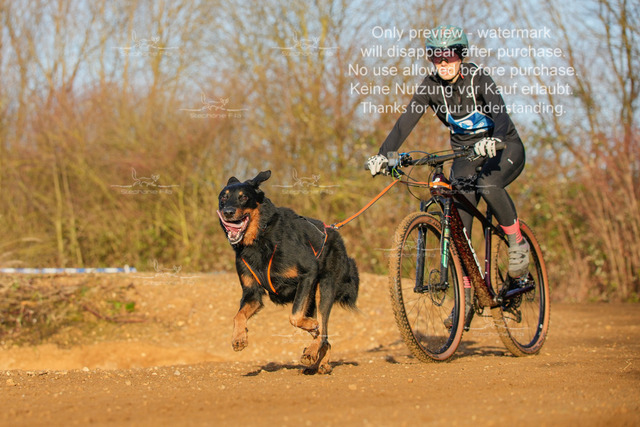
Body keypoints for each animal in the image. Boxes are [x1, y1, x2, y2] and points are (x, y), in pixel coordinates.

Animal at [217, 170, 359, 374]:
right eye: (223, 198)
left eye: (243, 197)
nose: (227, 212)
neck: (260, 238)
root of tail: (335, 233)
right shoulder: (252, 294)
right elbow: (238, 315)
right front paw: (239, 338)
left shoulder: (308, 273)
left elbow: (294, 316)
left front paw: (310, 326)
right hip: (311, 300)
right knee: (325, 336)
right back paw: (320, 362)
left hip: (323, 288)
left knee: (322, 326)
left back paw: (312, 351)